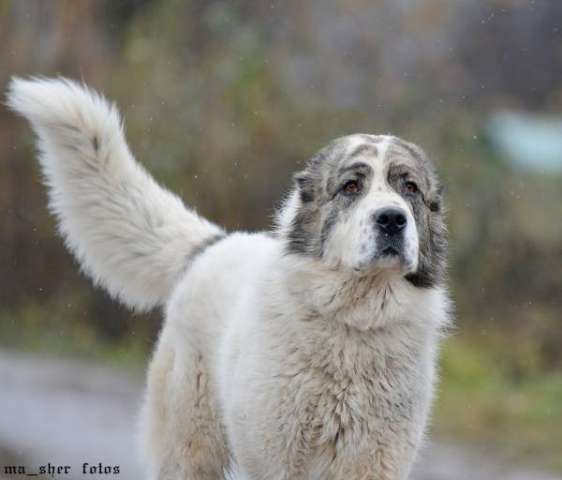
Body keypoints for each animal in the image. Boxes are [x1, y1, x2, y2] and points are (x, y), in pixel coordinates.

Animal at [6, 77, 448, 478]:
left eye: (409, 188)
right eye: (351, 186)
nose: (391, 218)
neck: (354, 323)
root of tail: (213, 243)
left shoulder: (375, 462)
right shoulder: (278, 461)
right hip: (190, 451)